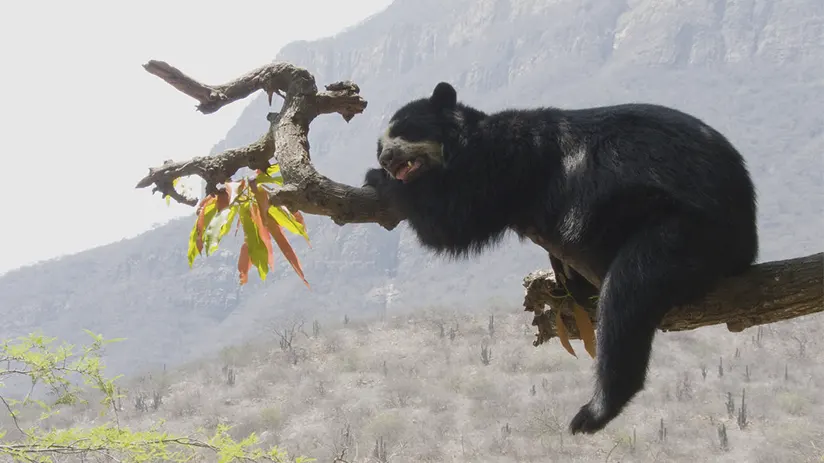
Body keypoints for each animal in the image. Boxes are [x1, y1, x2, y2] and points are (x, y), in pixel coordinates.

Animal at [363, 81, 759, 434]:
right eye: (380, 144)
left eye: (405, 130)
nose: (385, 158)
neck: (463, 145)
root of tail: (746, 241)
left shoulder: (507, 166)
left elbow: (452, 220)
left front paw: (380, 182)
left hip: (683, 232)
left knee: (627, 296)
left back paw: (593, 413)